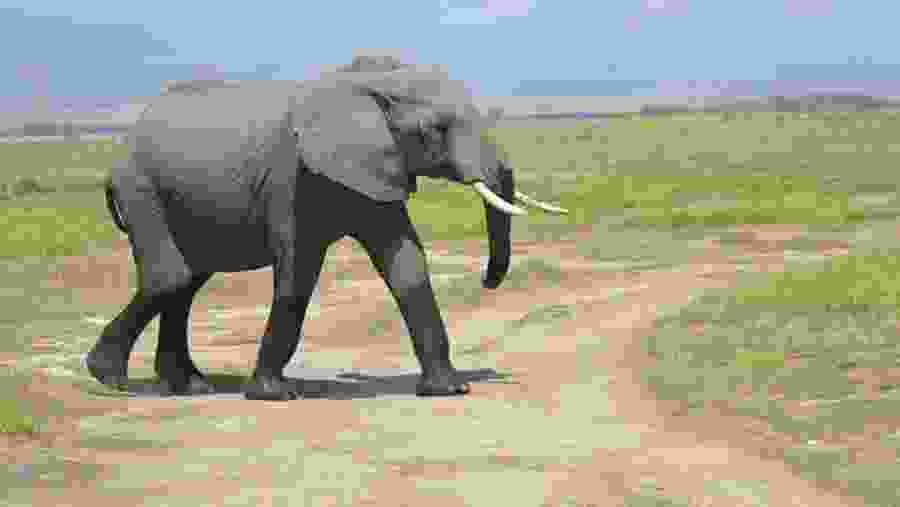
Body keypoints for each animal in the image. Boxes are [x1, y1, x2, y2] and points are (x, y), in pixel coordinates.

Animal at [85, 62, 567, 401]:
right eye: (435, 130)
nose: (488, 280)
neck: (368, 84)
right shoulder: (291, 180)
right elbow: (297, 274)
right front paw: (273, 395)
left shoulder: (376, 169)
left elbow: (406, 264)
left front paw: (447, 390)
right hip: (142, 189)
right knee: (172, 278)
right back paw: (110, 378)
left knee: (186, 283)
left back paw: (187, 386)